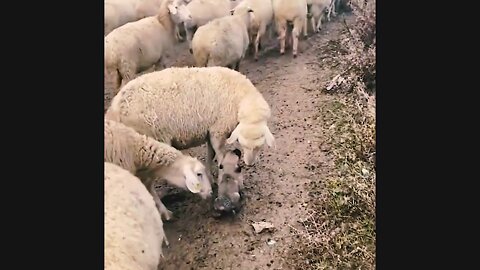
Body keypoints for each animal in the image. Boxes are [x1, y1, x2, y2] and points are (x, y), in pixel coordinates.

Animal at [106, 66, 278, 177]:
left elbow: (210, 154)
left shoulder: (211, 130)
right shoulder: (218, 130)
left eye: (260, 146)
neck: (242, 98)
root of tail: (116, 105)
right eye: (242, 143)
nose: (249, 164)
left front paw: (209, 173)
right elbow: (220, 154)